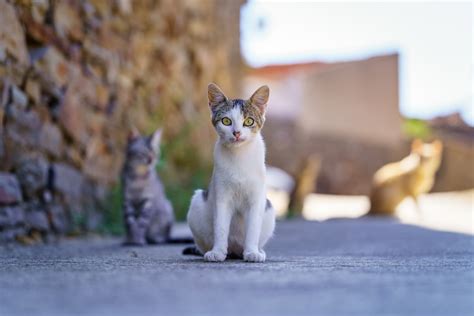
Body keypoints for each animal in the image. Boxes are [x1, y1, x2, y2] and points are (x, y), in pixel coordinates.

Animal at [185, 83, 274, 262]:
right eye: (226, 121)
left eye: (248, 121)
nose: (237, 133)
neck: (239, 157)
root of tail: (234, 250)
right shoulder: (221, 196)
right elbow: (220, 226)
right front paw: (217, 252)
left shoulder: (256, 199)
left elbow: (253, 228)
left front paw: (252, 252)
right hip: (197, 202)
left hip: (269, 209)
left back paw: (257, 251)